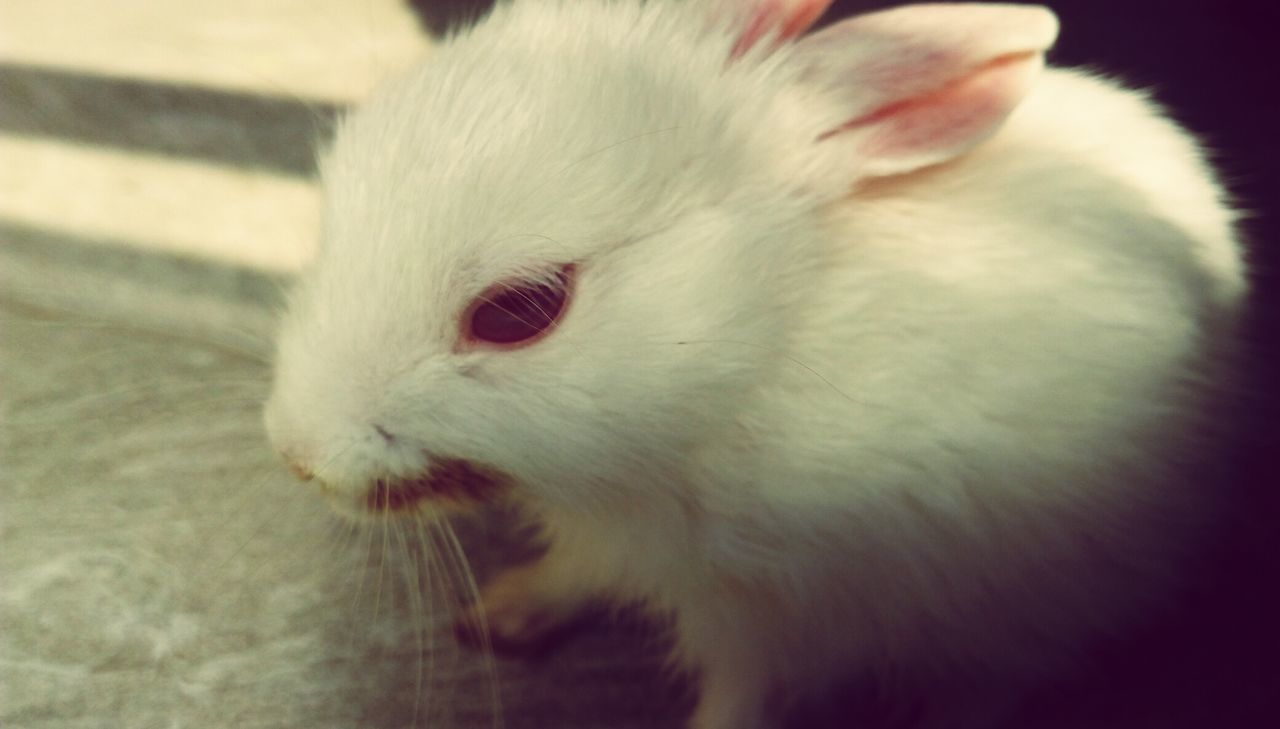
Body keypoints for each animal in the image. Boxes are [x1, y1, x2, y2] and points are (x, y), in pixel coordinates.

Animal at [264, 2, 1244, 721]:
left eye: (517, 312)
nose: (296, 452)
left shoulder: (771, 624)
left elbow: (738, 703)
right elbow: (573, 572)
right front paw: (499, 616)